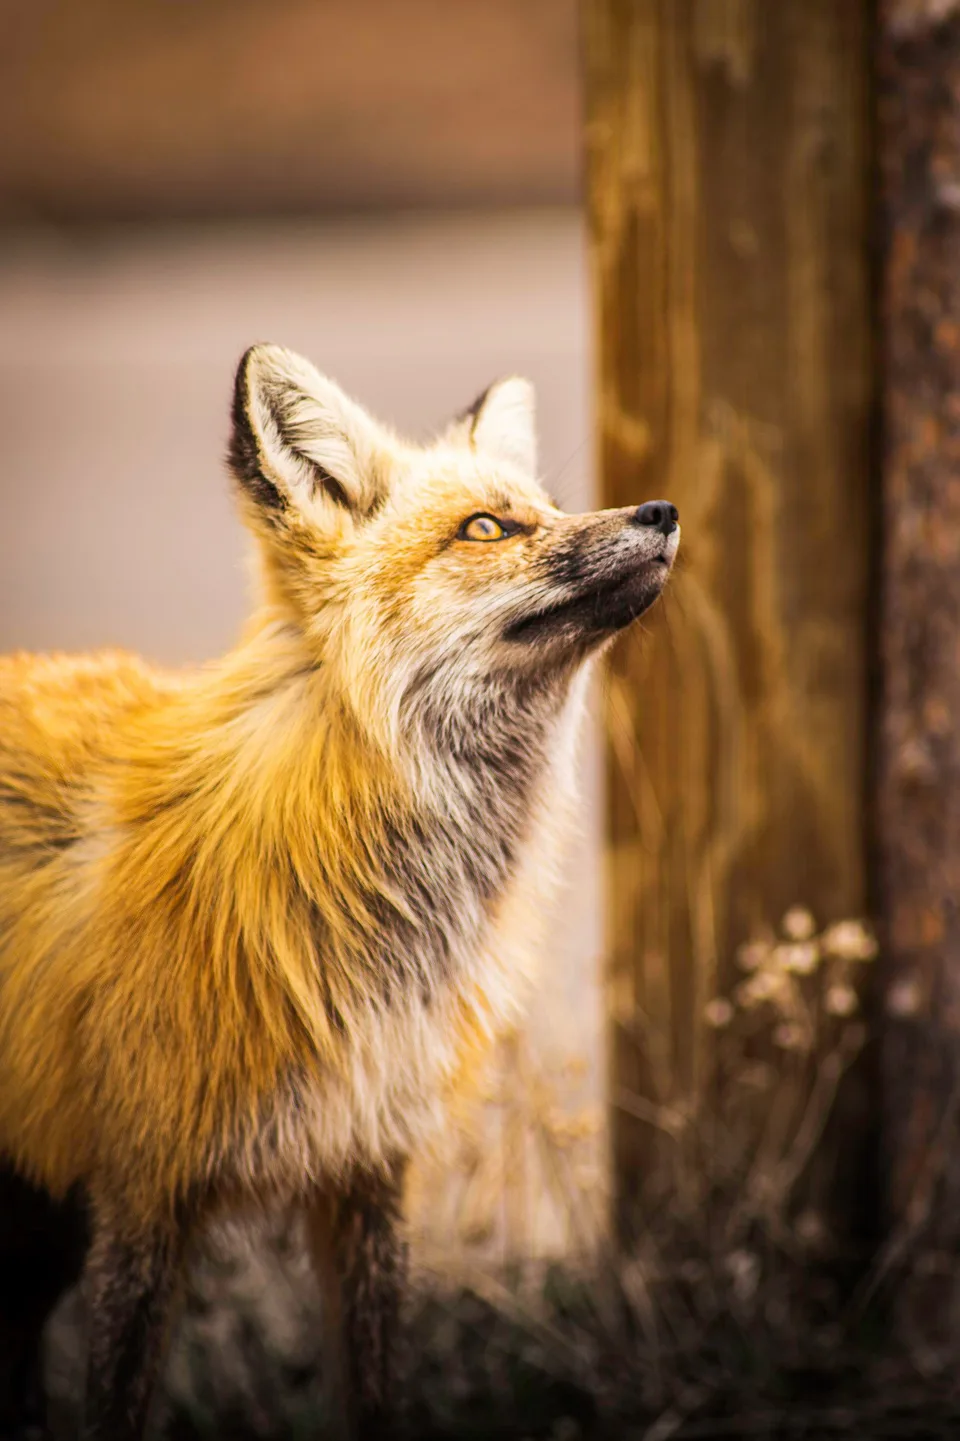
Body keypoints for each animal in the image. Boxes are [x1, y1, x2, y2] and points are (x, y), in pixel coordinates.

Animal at [0, 343, 679, 1440]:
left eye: (549, 506)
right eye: (486, 528)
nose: (661, 509)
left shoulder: (367, 1171)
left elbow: (374, 1388)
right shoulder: (145, 1191)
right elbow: (117, 1401)